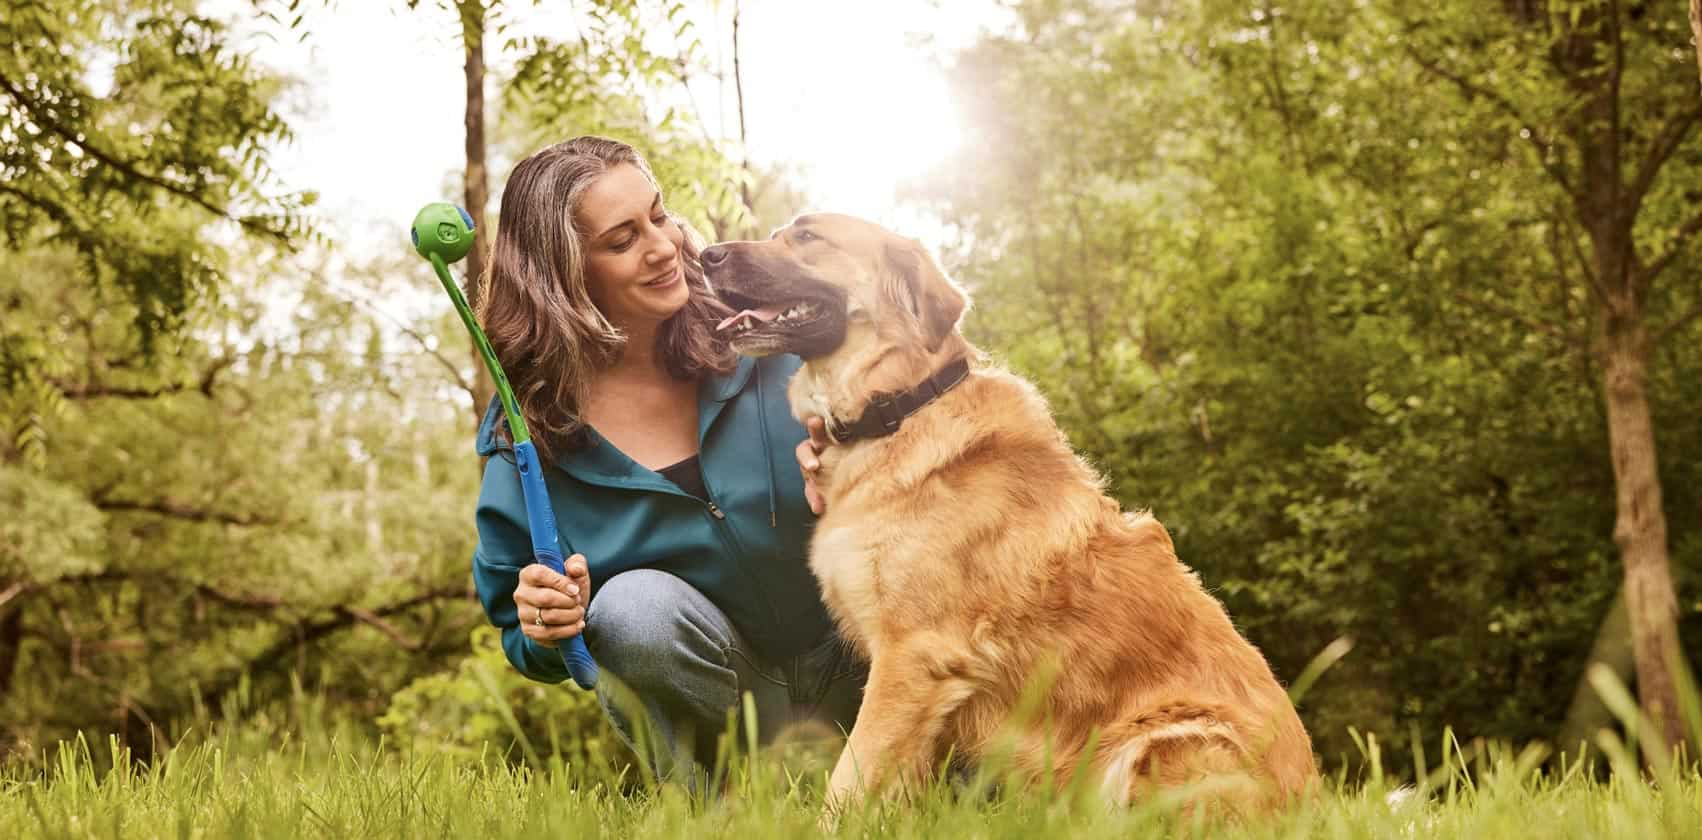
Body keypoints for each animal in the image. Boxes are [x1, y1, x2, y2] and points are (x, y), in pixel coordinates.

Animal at [701, 213, 1313, 816]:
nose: (708, 255)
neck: (900, 406)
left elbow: (851, 778)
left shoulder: (913, 655)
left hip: (1162, 742)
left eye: (807, 236)